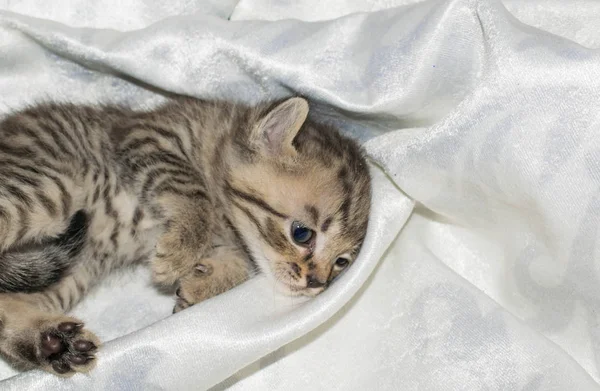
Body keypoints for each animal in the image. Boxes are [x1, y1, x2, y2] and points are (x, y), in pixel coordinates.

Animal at [0, 95, 370, 376]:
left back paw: (52, 343)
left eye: (341, 262)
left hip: (76, 267)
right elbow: (190, 189)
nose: (317, 283)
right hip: (50, 188)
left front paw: (200, 284)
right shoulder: (146, 135)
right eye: (302, 233)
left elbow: (236, 263)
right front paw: (179, 252)